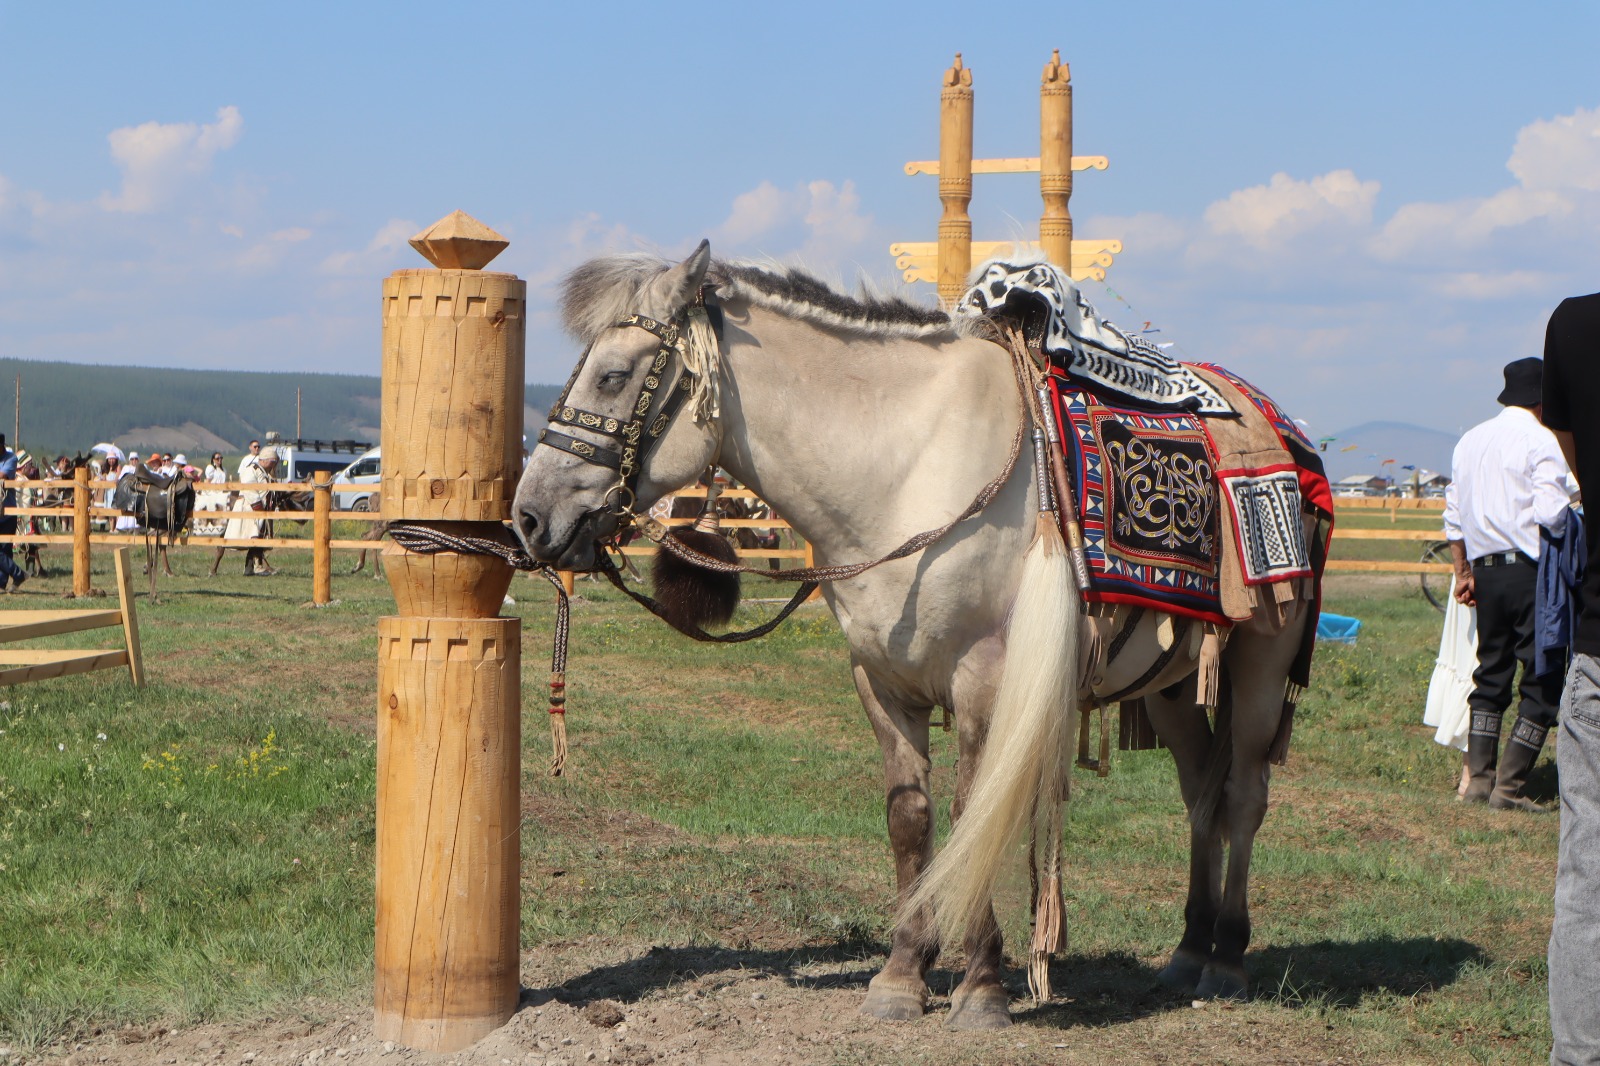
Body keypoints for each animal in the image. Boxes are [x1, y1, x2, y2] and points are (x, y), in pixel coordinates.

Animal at [512, 244, 1324, 1024]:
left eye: (613, 376)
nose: (528, 516)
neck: (904, 467)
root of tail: (1288, 433)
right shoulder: (881, 680)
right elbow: (911, 819)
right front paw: (903, 975)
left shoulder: (982, 681)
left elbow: (973, 816)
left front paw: (981, 987)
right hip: (1174, 683)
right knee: (1201, 794)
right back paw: (1188, 949)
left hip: (1260, 665)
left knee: (1243, 795)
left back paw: (1226, 959)